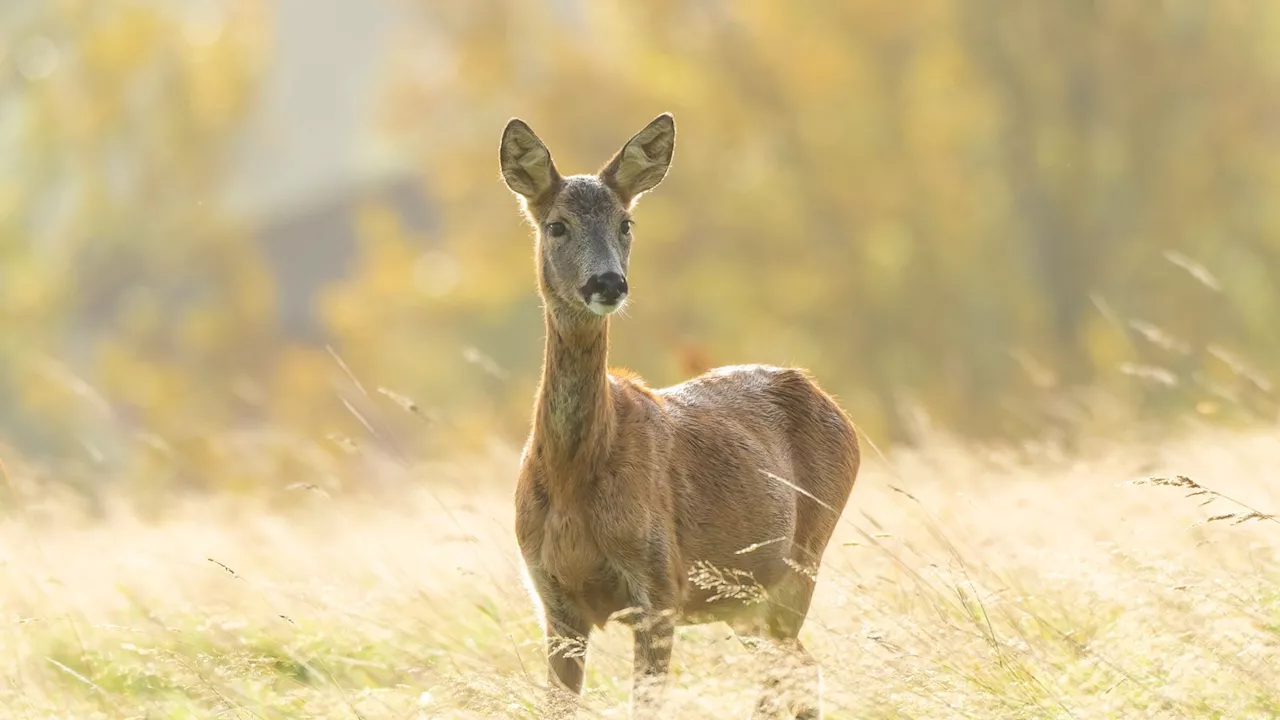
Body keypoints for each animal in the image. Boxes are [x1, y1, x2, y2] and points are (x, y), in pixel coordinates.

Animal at [499, 113, 860, 717]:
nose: (608, 283)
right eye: (556, 226)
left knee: (792, 673)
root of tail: (824, 396)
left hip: (800, 561)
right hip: (744, 599)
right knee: (796, 670)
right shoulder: (552, 598)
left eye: (627, 222)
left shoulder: (660, 585)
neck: (575, 479)